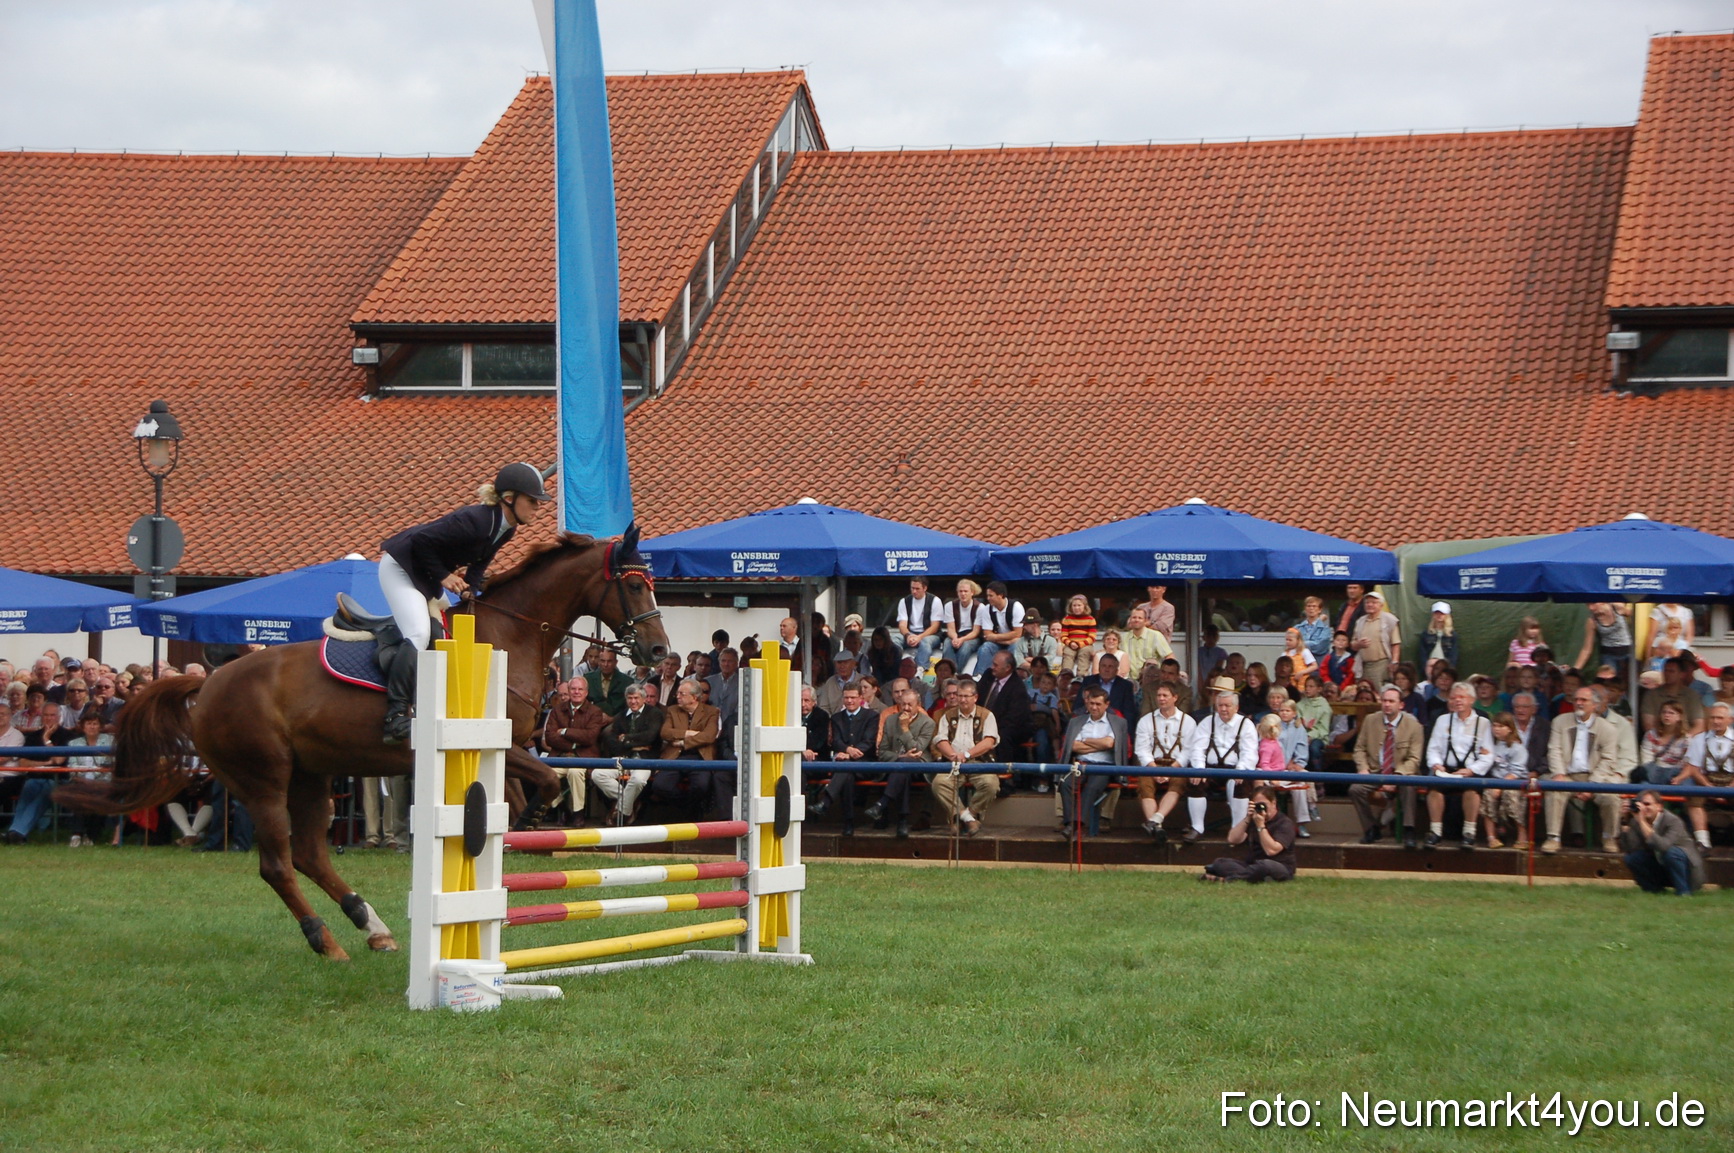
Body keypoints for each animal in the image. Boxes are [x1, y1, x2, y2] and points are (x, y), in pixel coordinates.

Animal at [58, 529, 671, 961]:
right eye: (633, 584)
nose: (660, 652)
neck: (506, 636)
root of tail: (207, 682)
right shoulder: (493, 747)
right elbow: (539, 784)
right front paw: (522, 834)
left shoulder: (509, 748)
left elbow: (529, 788)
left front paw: (519, 833)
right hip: (265, 778)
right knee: (279, 864)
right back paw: (326, 940)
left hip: (312, 776)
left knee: (309, 854)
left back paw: (371, 926)